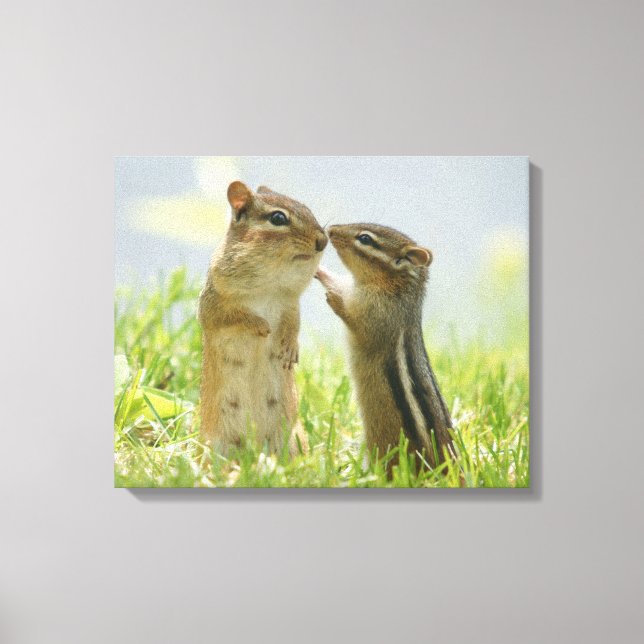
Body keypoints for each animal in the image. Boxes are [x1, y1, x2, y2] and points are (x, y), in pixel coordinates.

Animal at [198, 181, 327, 453]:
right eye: (278, 218)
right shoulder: (215, 305)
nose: (323, 241)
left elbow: (294, 325)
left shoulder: (290, 304)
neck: (269, 286)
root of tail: (254, 449)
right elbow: (234, 317)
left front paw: (290, 348)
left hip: (294, 439)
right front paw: (261, 325)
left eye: (308, 208)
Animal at [315, 223, 454, 471]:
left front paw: (334, 300)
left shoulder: (378, 315)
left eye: (365, 239)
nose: (330, 229)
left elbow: (355, 320)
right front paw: (319, 271)